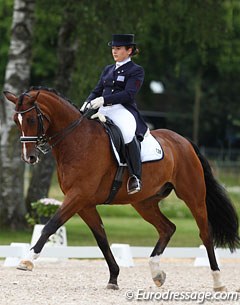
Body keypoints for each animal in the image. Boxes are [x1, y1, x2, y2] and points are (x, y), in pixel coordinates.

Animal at [3, 86, 238, 290]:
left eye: (32, 119)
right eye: (16, 120)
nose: (29, 157)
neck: (77, 140)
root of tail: (185, 141)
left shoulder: (78, 196)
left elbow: (51, 225)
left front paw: (27, 260)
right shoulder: (84, 204)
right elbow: (102, 239)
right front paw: (114, 278)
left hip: (193, 195)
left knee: (205, 233)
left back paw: (218, 282)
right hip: (144, 203)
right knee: (167, 228)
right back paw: (157, 273)